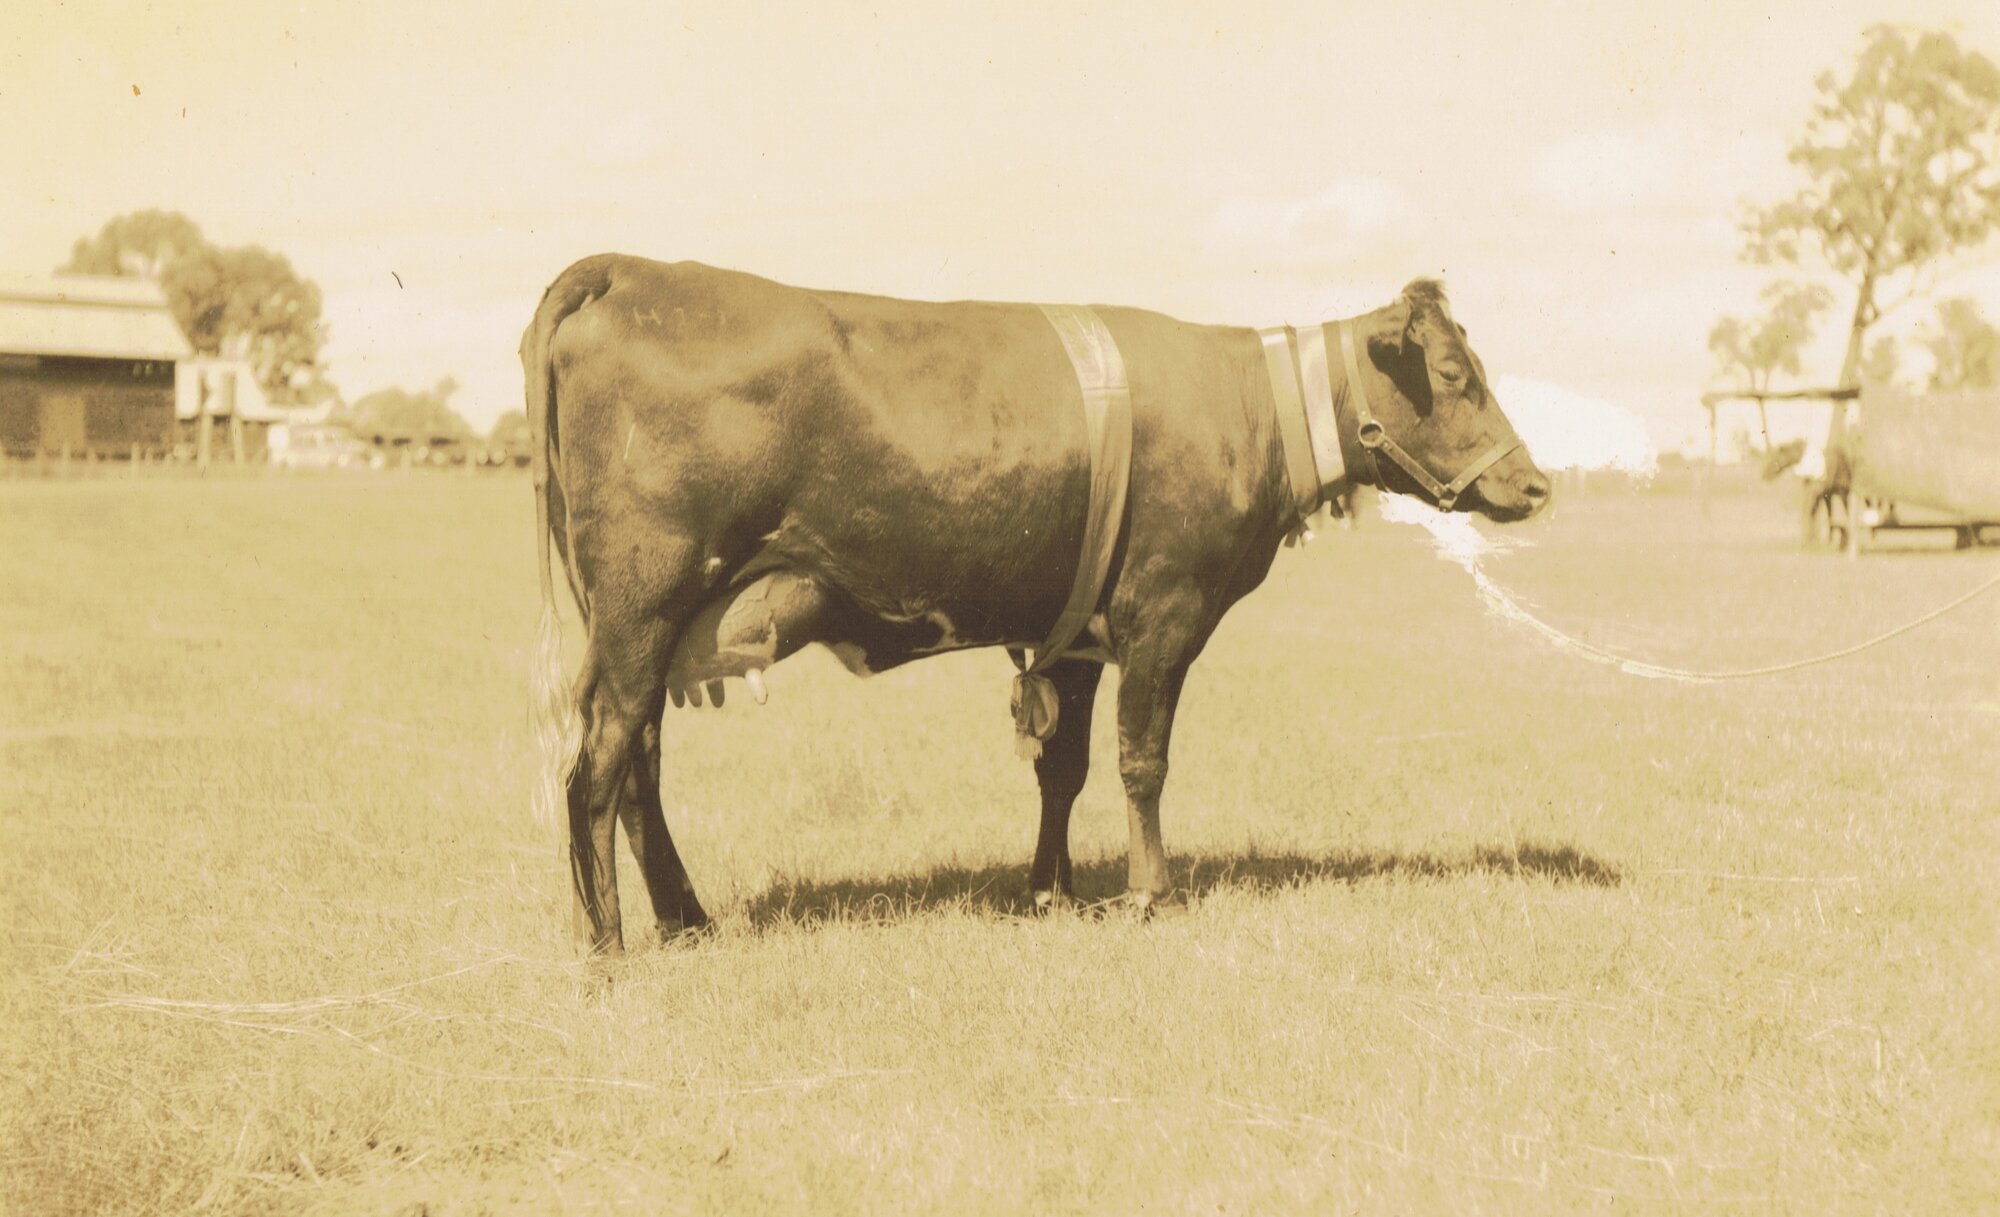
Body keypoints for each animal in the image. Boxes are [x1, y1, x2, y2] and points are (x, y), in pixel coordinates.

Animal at [523, 254, 1550, 954]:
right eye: (1453, 375)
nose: (1535, 486)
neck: (1245, 410)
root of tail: (634, 268)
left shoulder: (1079, 636)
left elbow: (1065, 769)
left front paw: (1052, 889)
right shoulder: (1163, 616)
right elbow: (1143, 762)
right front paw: (1151, 892)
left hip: (646, 628)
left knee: (640, 762)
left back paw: (685, 918)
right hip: (644, 605)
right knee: (599, 765)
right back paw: (609, 943)